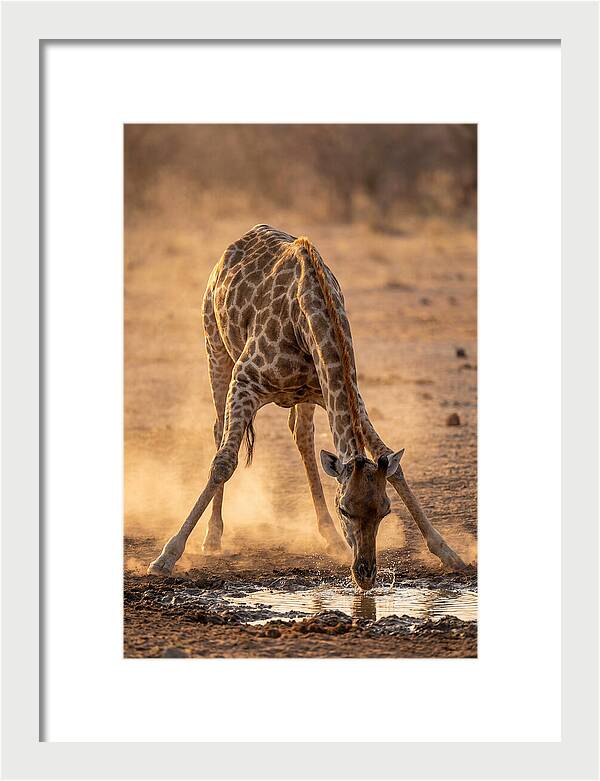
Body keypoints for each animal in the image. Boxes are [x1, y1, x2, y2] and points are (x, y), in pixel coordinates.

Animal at [147, 224, 467, 588]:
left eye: (385, 510)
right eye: (345, 509)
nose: (366, 575)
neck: (308, 316)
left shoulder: (342, 391)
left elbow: (391, 462)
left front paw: (448, 552)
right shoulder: (245, 380)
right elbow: (224, 463)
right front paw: (167, 556)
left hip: (304, 396)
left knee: (302, 436)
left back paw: (330, 538)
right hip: (215, 348)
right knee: (219, 432)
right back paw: (213, 538)